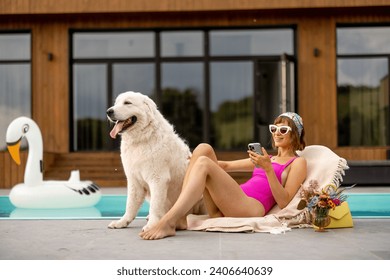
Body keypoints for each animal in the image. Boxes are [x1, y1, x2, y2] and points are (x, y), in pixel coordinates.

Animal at [106, 91, 192, 231]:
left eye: (127, 103)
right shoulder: (134, 180)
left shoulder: (158, 179)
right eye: (116, 103)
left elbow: (155, 206)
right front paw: (122, 222)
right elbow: (130, 205)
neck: (142, 138)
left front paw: (152, 225)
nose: (109, 111)